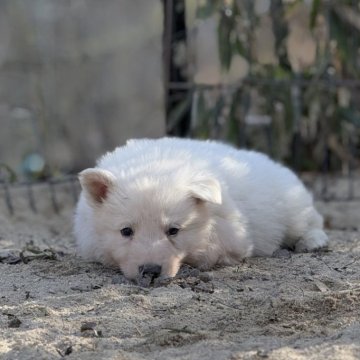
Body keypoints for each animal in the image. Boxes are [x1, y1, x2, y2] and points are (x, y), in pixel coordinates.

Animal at [74, 138, 328, 282]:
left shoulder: (233, 234)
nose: (151, 271)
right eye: (126, 231)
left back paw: (313, 242)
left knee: (311, 222)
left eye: (174, 230)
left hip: (293, 209)